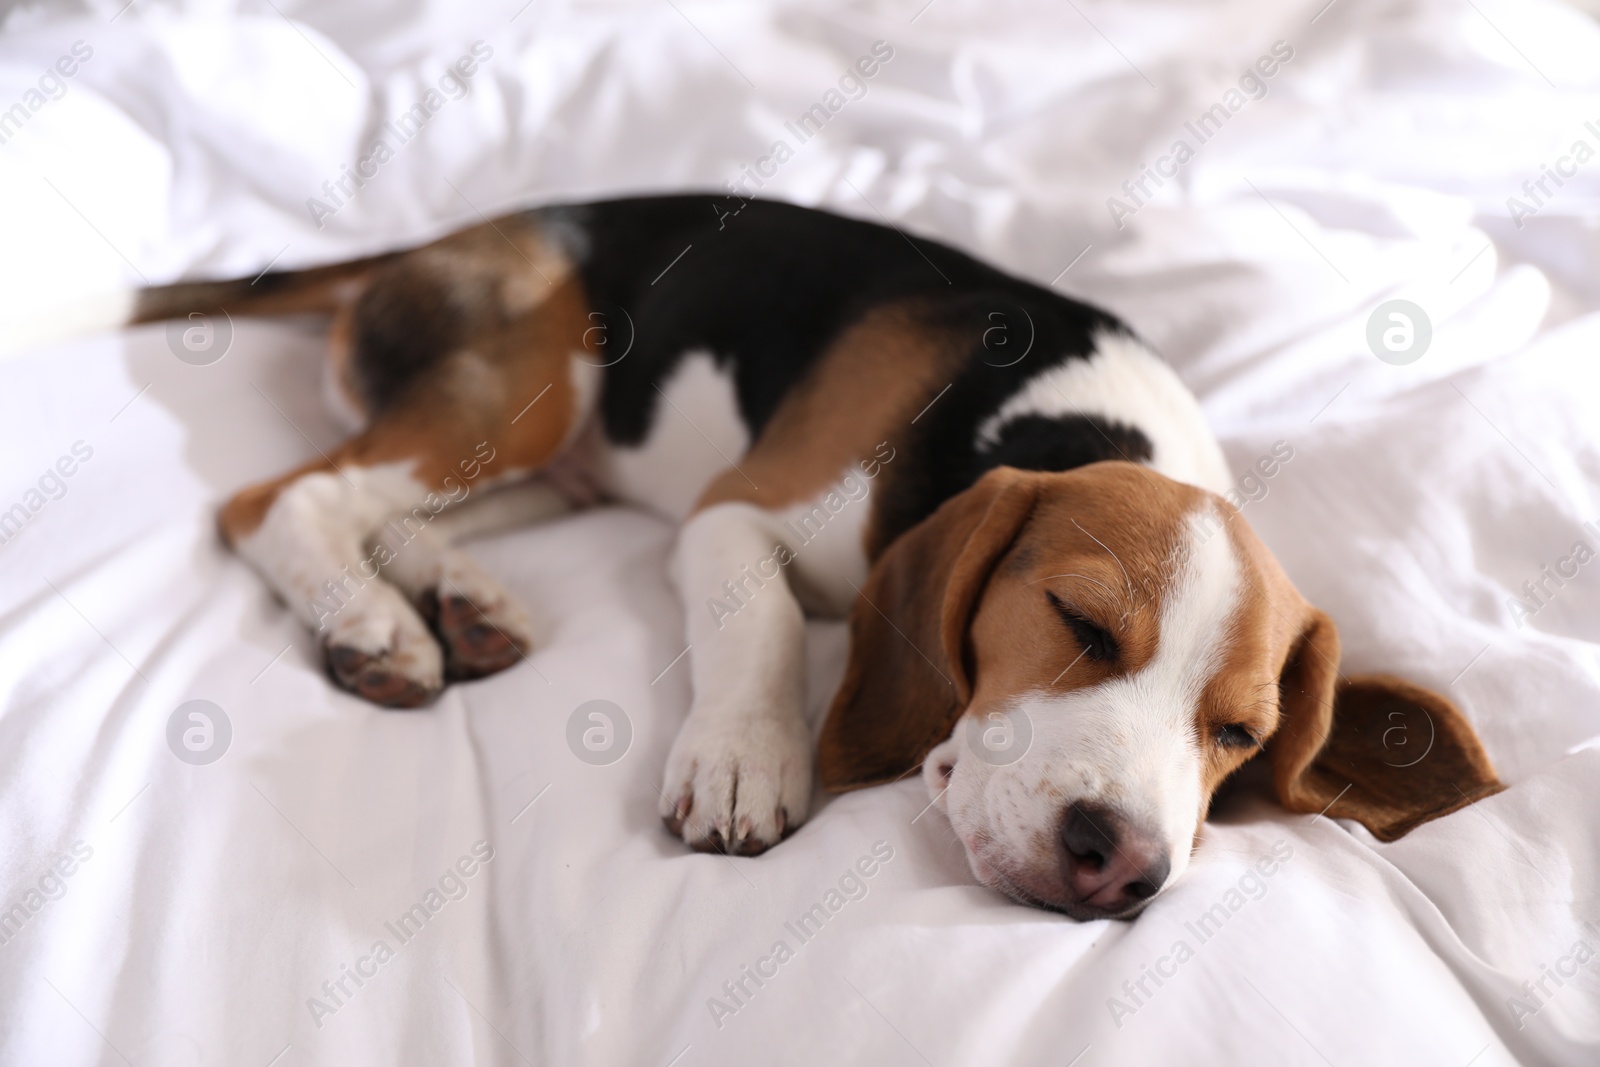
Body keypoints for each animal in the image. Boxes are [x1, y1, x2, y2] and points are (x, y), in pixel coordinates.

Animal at [121, 195, 1497, 921]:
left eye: (1240, 736)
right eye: (1079, 621)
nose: (1124, 865)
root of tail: (466, 228)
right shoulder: (730, 513)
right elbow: (769, 621)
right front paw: (745, 758)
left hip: (555, 464)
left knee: (399, 519)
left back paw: (464, 602)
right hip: (532, 390)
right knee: (279, 499)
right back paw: (373, 623)